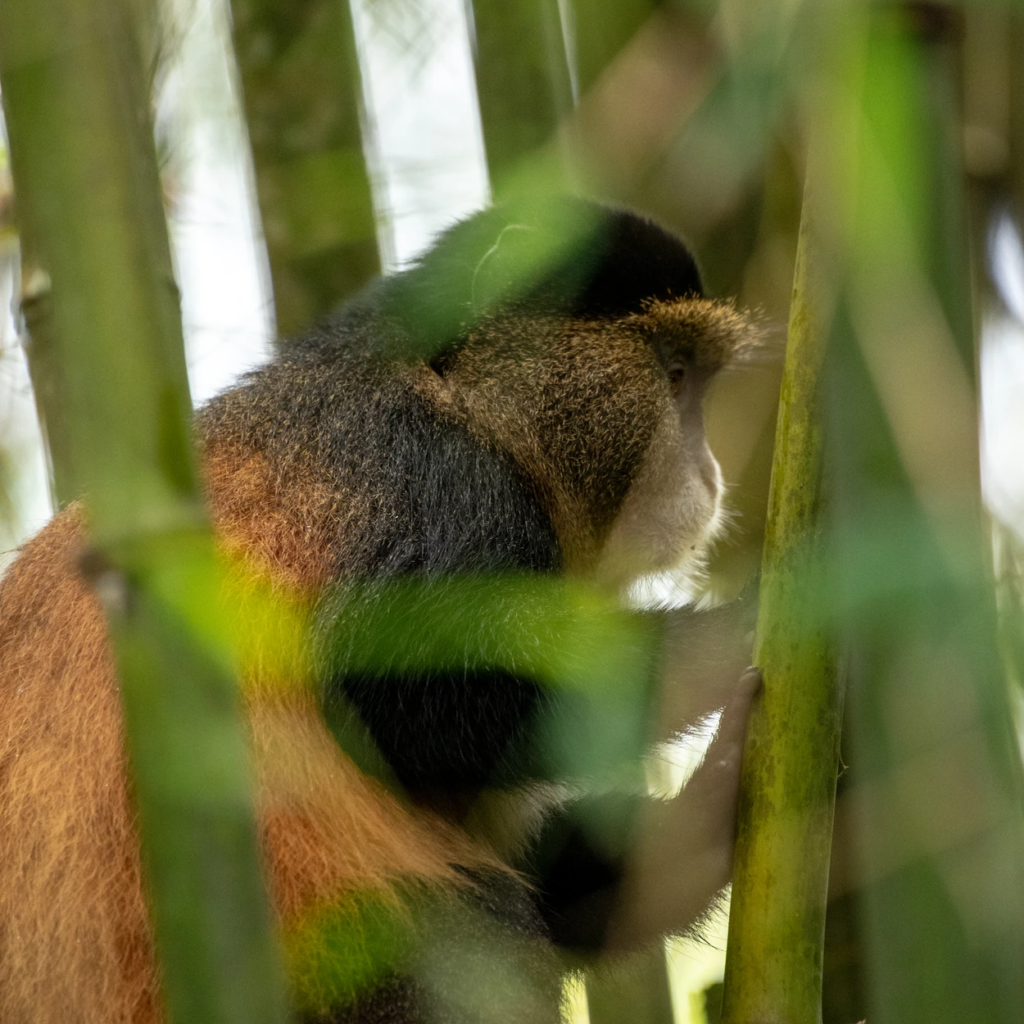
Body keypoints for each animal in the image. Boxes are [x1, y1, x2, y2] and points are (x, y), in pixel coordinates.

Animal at [0, 195, 762, 1024]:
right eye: (675, 375)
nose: (712, 474)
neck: (459, 394)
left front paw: (715, 806)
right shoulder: (445, 481)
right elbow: (414, 699)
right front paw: (752, 624)